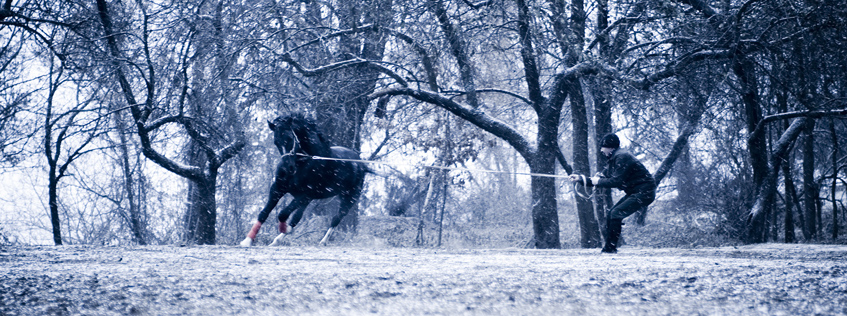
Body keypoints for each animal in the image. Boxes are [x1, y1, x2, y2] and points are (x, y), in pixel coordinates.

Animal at [242, 113, 368, 247]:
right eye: (276, 142)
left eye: (289, 138)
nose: (287, 168)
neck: (305, 161)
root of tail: (362, 164)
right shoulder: (277, 188)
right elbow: (264, 213)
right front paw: (247, 240)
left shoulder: (304, 195)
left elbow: (283, 214)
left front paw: (285, 228)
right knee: (297, 217)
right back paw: (276, 241)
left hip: (349, 198)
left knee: (336, 218)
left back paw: (322, 241)